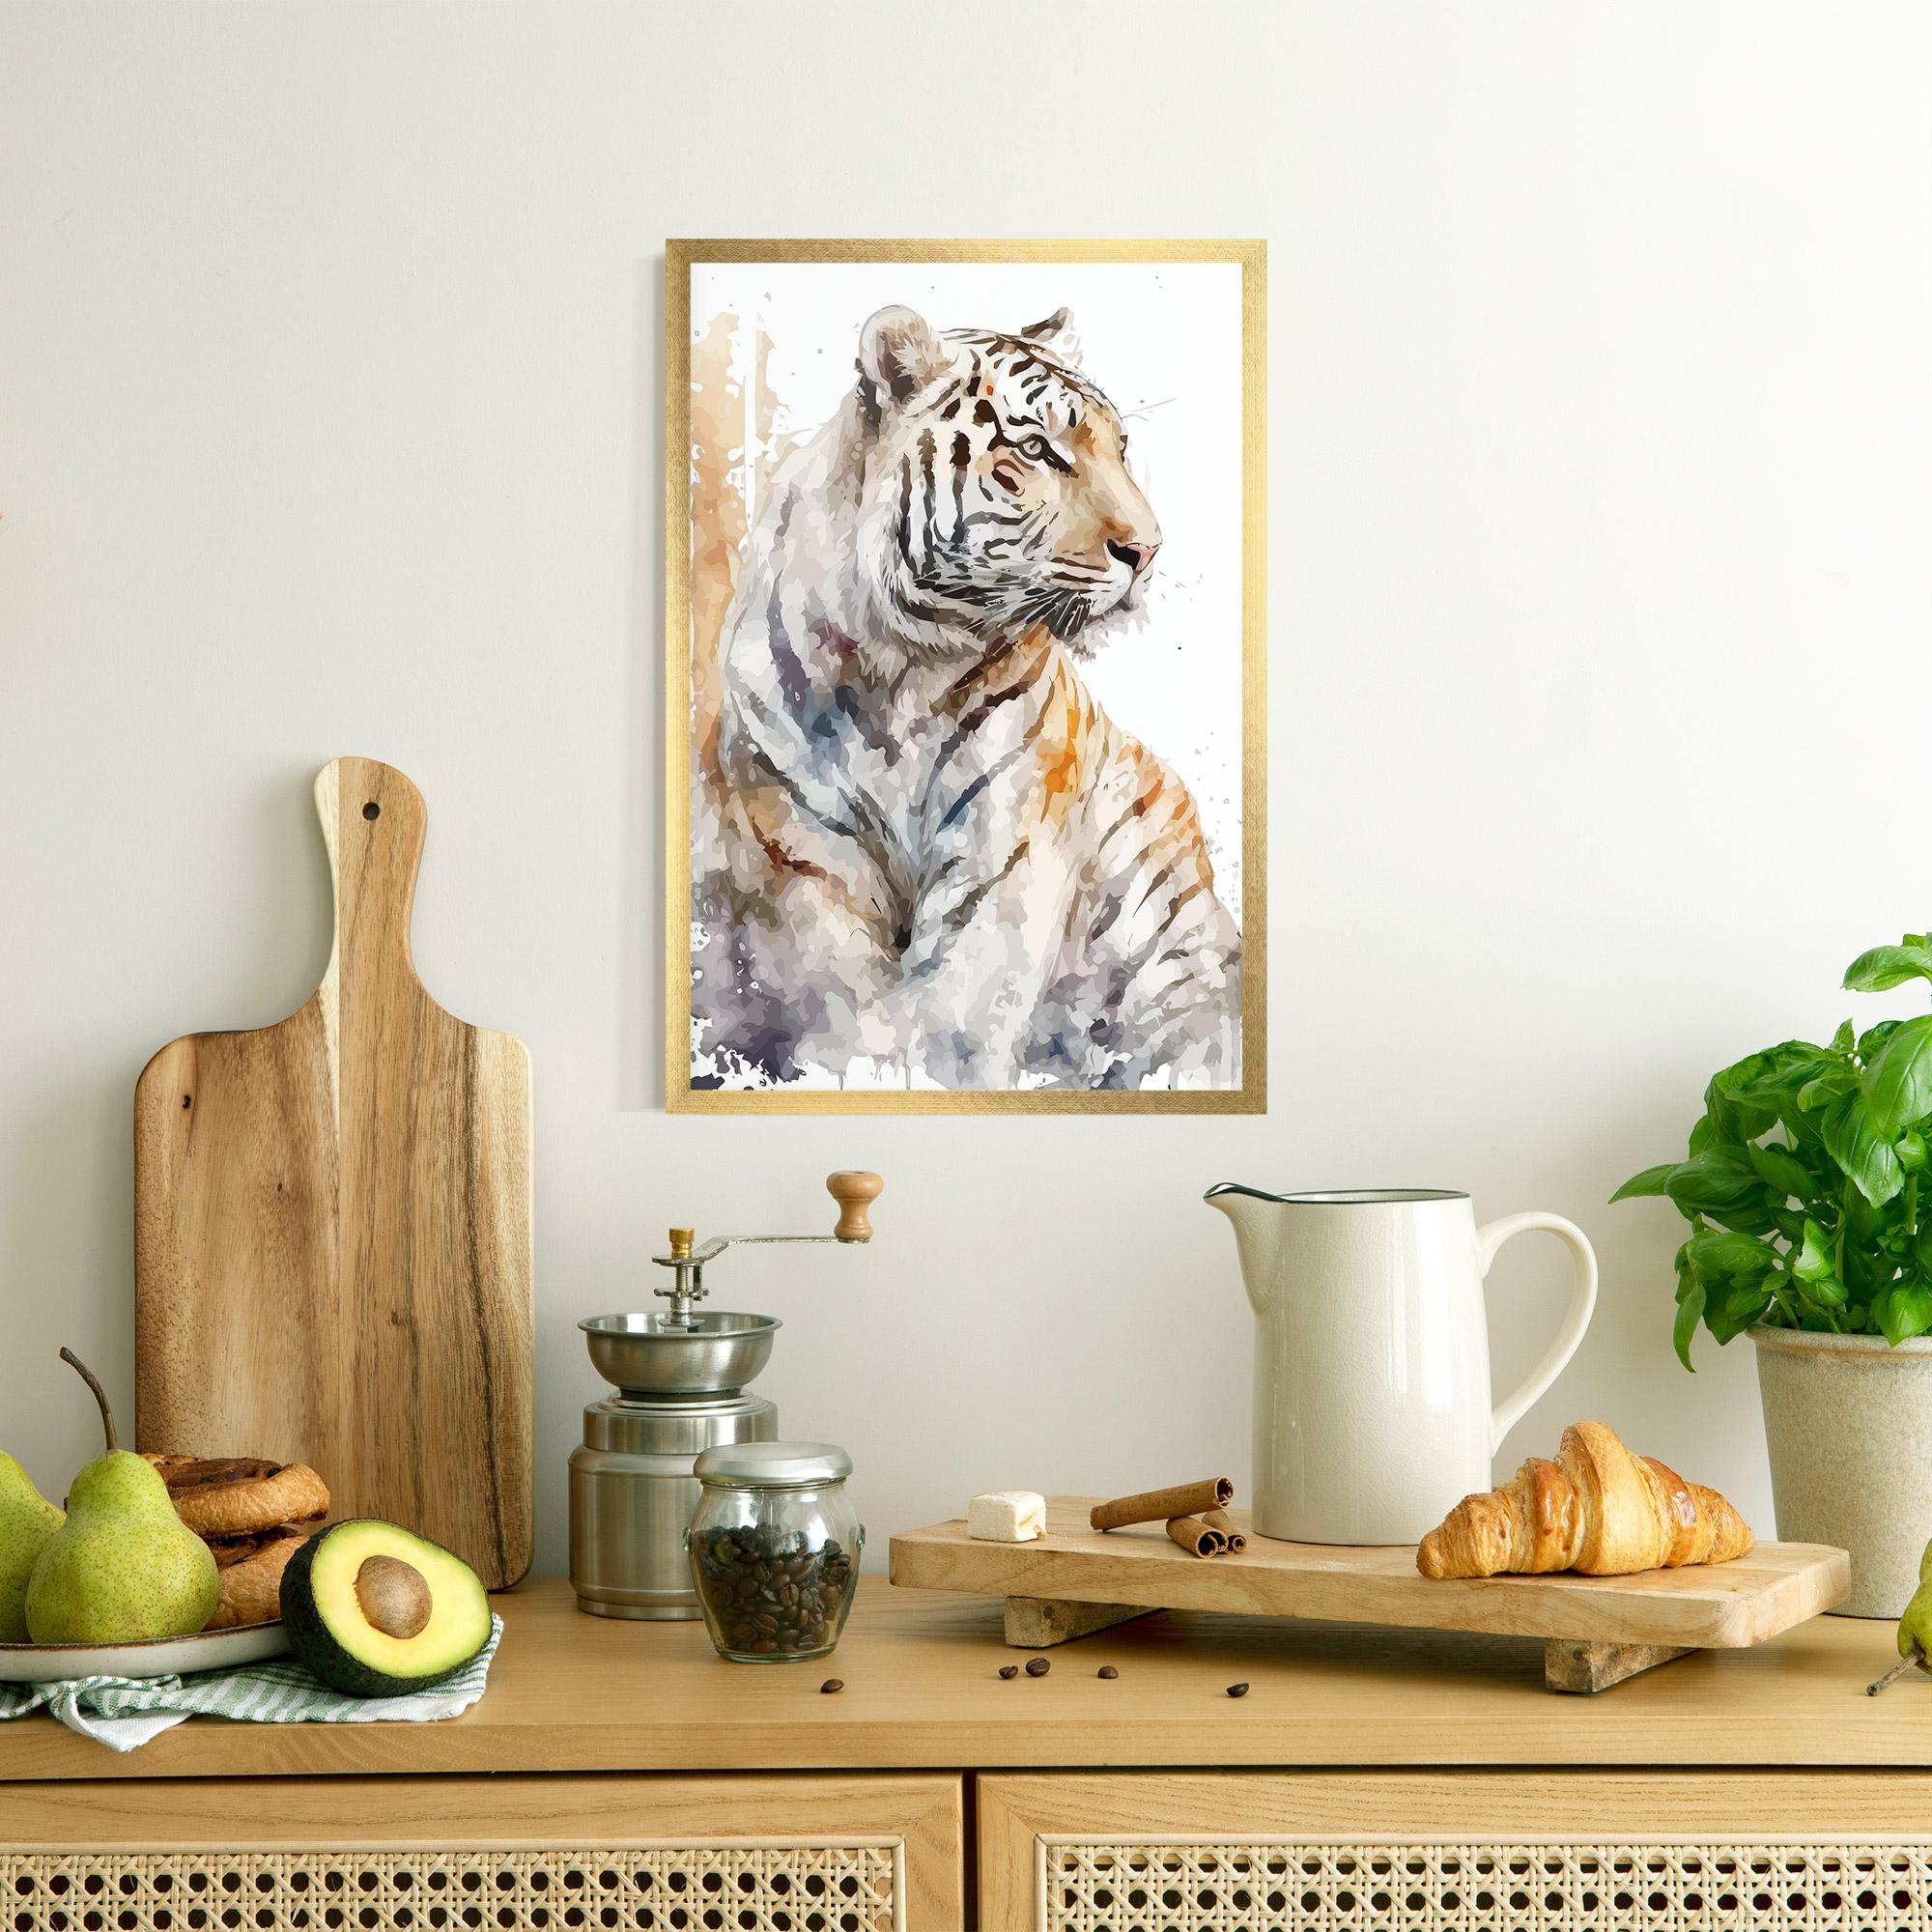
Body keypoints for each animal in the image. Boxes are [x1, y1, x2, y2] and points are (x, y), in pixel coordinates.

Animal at [689, 301, 1241, 1091]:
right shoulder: (804, 855)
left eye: (1121, 447)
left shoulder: (1004, 854)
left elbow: (959, 1025)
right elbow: (839, 1011)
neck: (900, 670)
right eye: (1038, 450)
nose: (1148, 550)